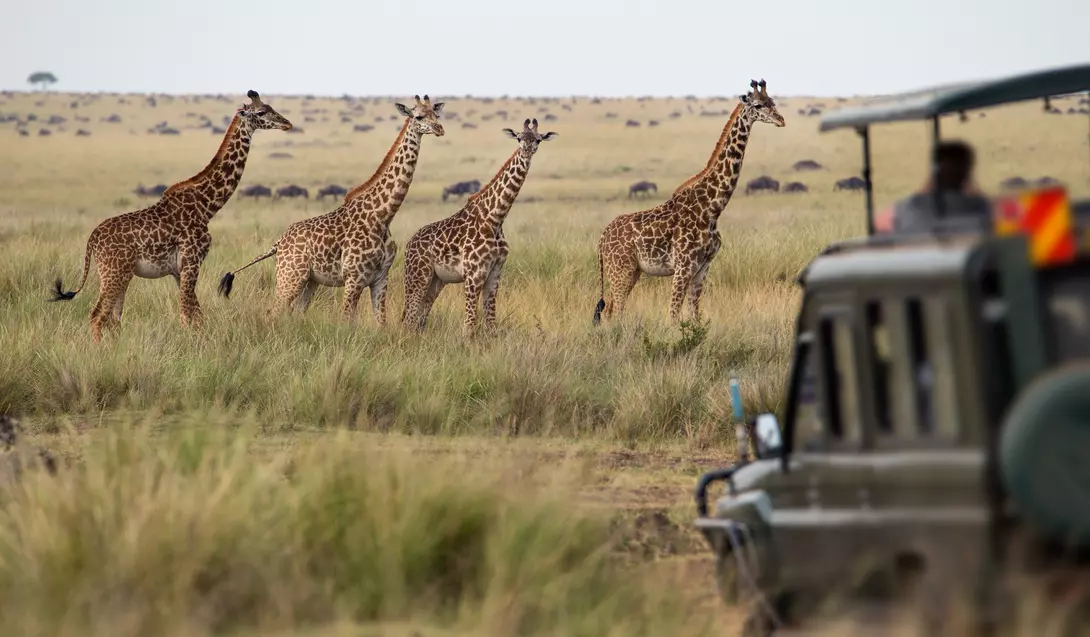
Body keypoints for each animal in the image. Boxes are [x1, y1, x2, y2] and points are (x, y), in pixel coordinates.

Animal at [49, 90, 292, 342]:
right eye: (261, 112)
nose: (287, 124)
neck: (206, 206)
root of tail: (92, 240)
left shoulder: (179, 270)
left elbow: (196, 315)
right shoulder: (192, 261)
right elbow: (187, 314)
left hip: (120, 274)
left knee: (113, 318)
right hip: (114, 272)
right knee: (98, 315)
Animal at [217, 95, 445, 326]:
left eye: (437, 114)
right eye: (419, 116)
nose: (440, 129)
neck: (383, 215)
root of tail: (279, 242)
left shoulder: (381, 277)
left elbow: (381, 322)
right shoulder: (354, 278)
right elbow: (346, 320)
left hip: (310, 281)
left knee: (295, 312)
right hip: (290, 275)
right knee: (273, 311)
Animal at [401, 118, 557, 337]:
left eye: (538, 139)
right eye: (519, 137)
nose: (526, 150)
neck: (495, 218)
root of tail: (408, 245)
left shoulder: (495, 272)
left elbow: (491, 323)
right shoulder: (474, 274)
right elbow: (469, 324)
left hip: (436, 280)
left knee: (420, 318)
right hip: (417, 276)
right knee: (409, 318)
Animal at [592, 79, 785, 326]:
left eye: (773, 102)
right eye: (758, 105)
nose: (781, 120)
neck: (712, 208)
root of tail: (602, 238)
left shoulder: (703, 267)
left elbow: (694, 315)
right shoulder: (683, 266)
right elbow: (673, 315)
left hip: (632, 270)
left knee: (610, 310)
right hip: (620, 269)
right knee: (613, 311)